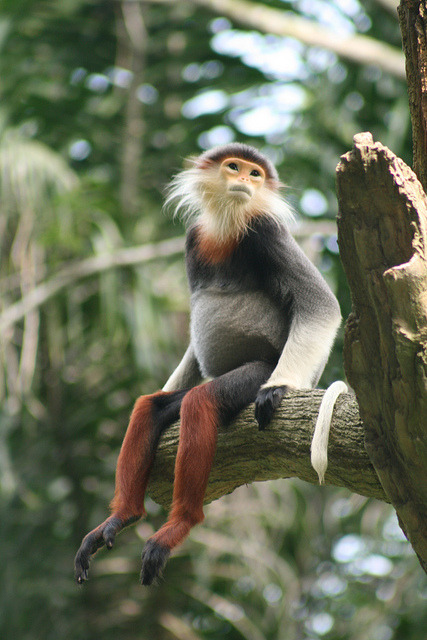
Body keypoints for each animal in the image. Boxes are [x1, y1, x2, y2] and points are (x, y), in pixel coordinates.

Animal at [74, 141, 344, 584]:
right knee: (150, 406)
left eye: (255, 174)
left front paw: (278, 389)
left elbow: (322, 306)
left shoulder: (266, 230)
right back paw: (122, 516)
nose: (243, 181)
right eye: (233, 167)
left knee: (200, 403)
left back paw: (178, 525)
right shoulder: (193, 238)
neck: (227, 226)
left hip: (254, 370)